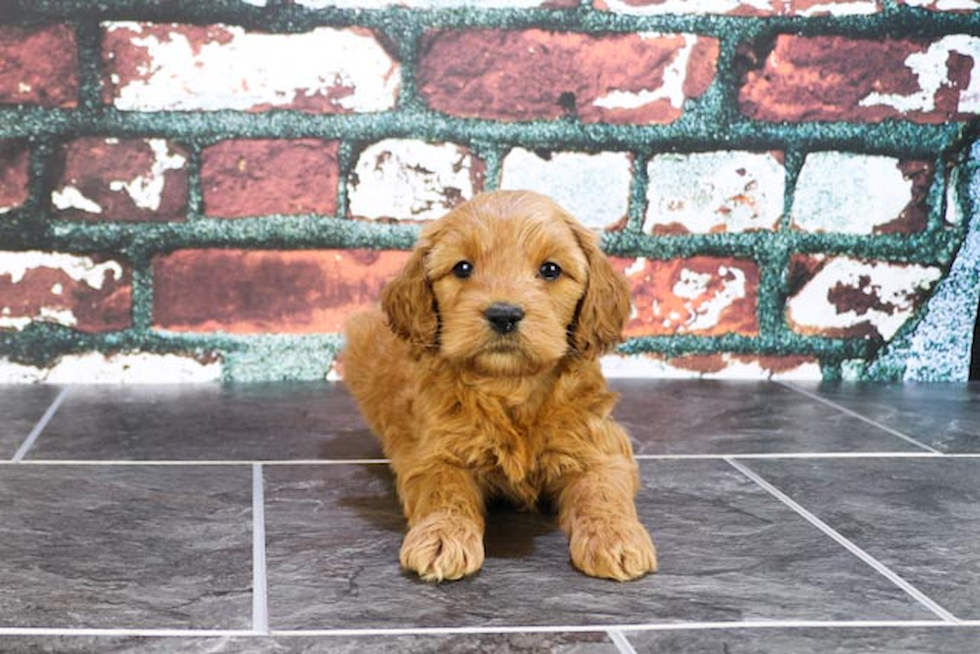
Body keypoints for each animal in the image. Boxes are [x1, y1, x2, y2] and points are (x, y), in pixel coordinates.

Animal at [344, 190, 660, 584]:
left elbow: (602, 488)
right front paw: (442, 537)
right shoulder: (433, 451)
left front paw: (615, 536)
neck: (511, 385)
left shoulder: (600, 445)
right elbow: (444, 491)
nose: (504, 315)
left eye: (550, 269)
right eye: (462, 268)